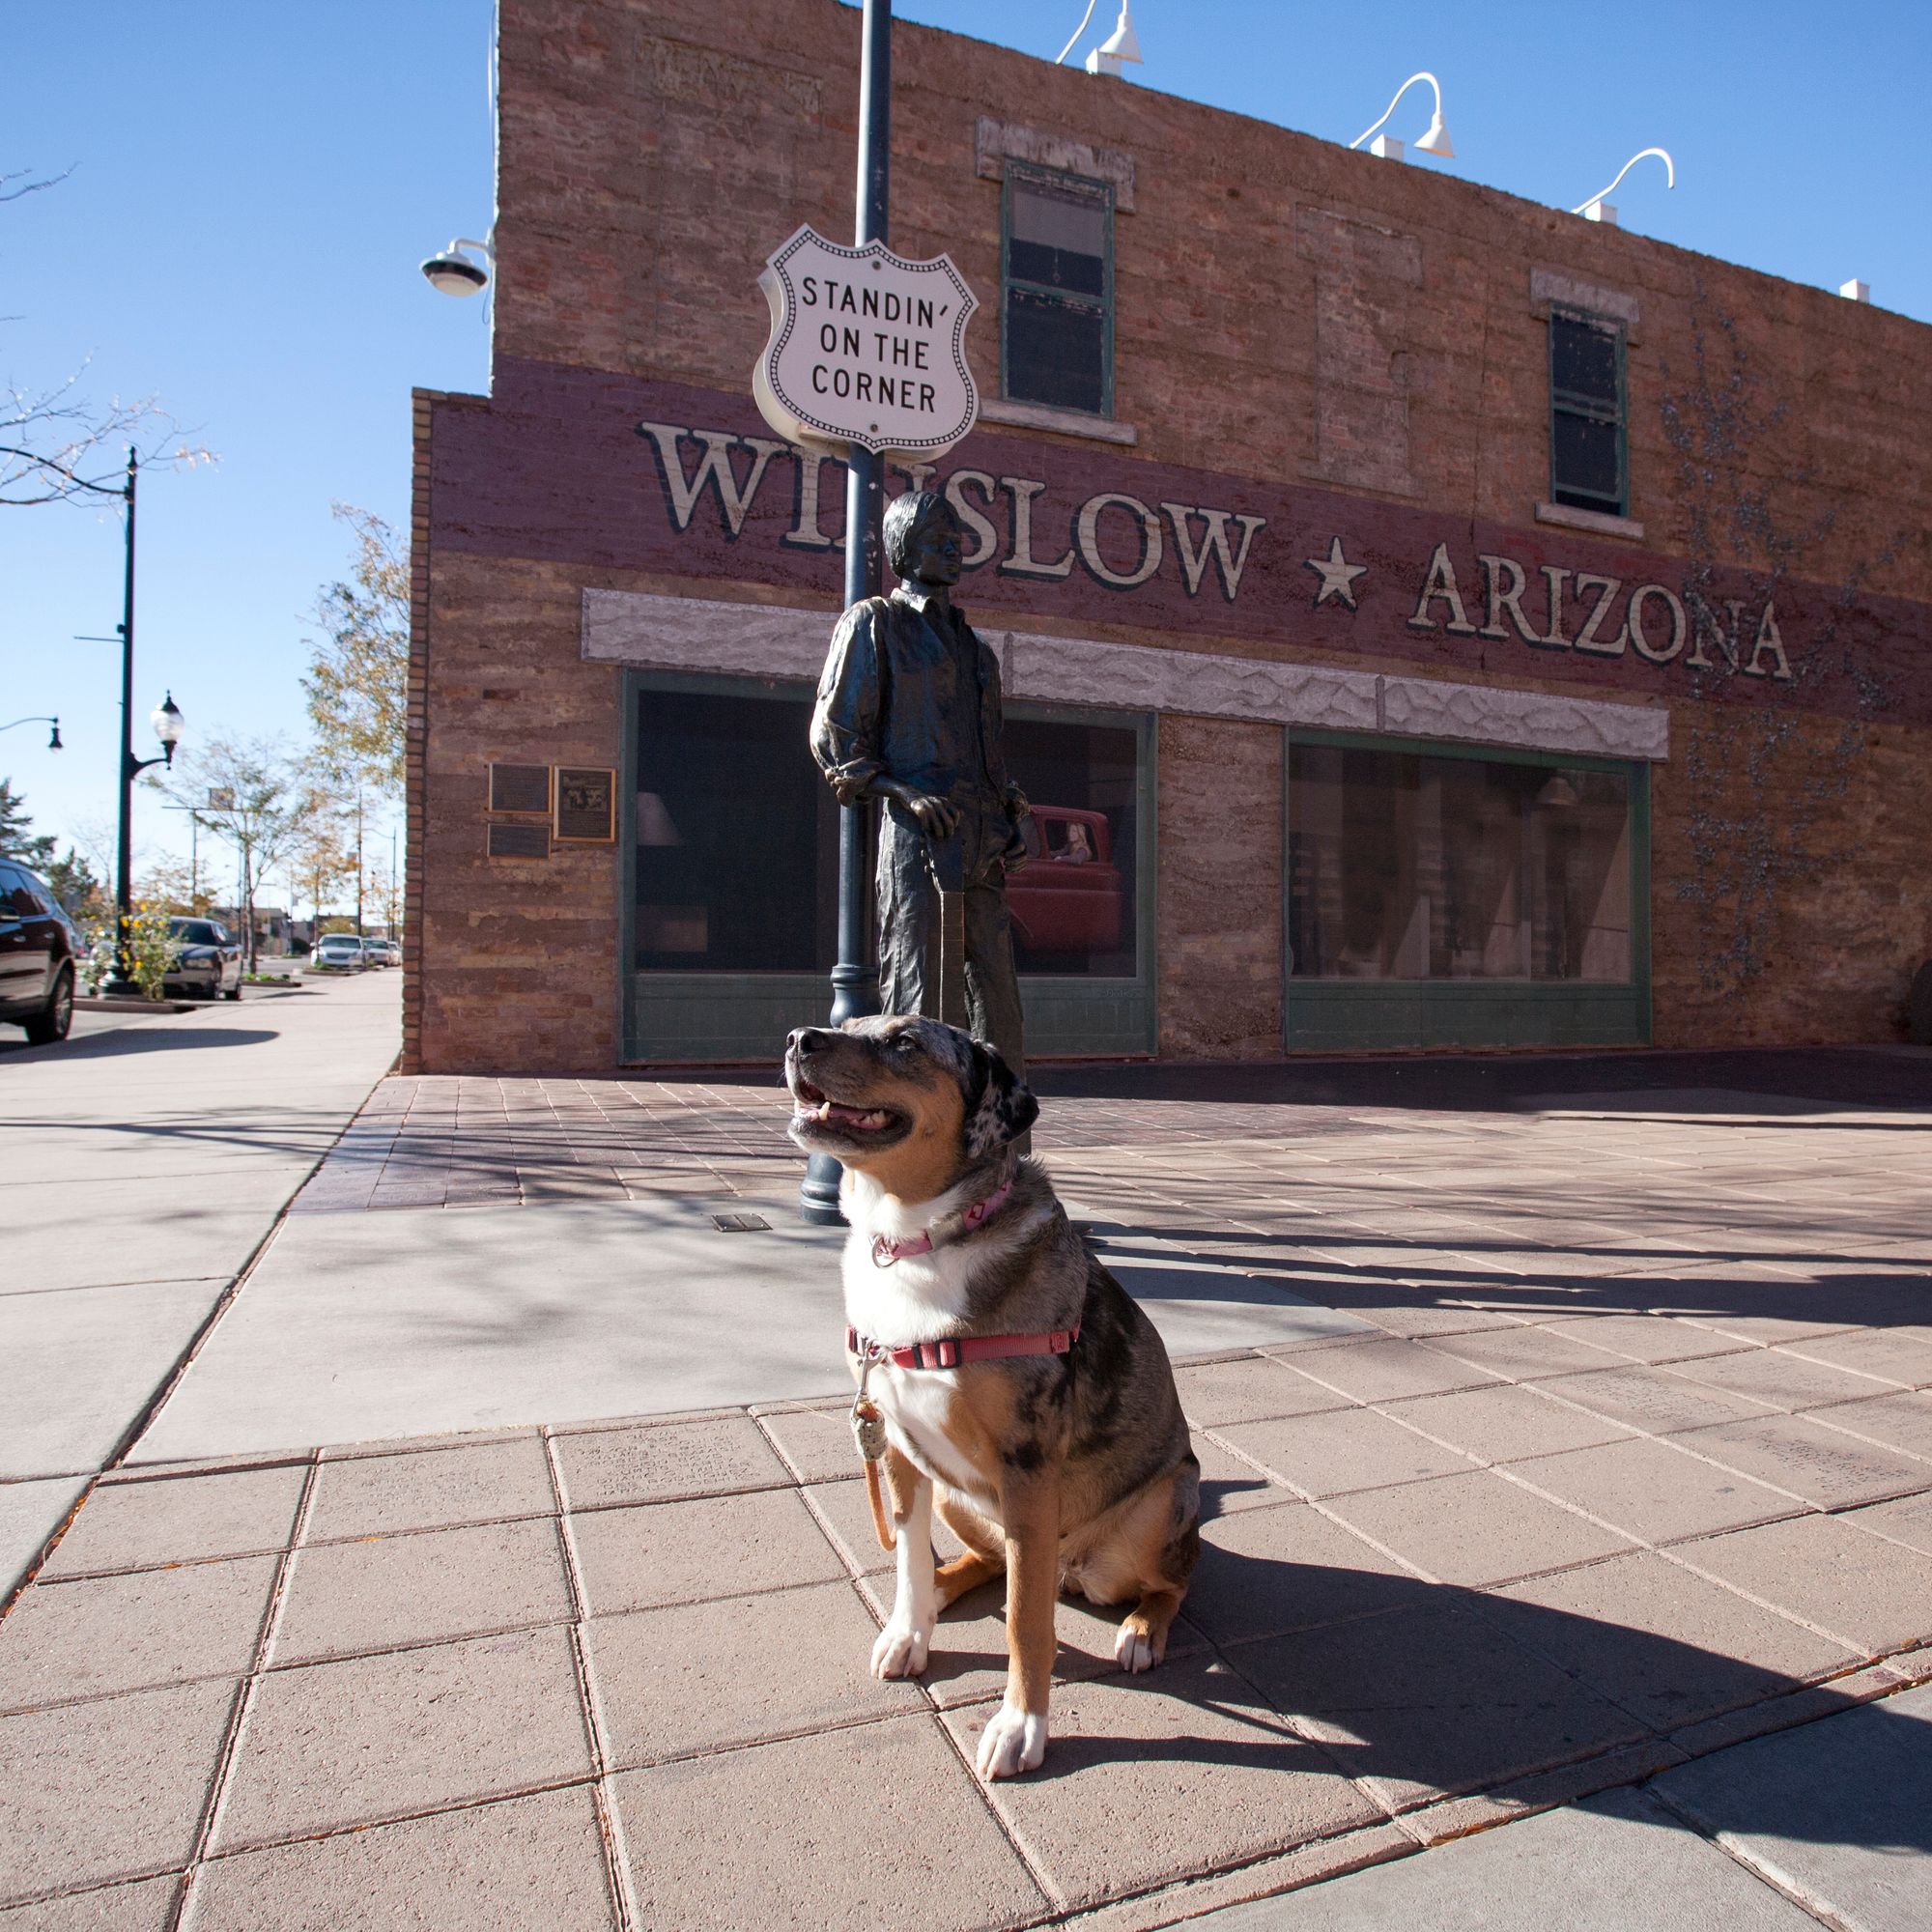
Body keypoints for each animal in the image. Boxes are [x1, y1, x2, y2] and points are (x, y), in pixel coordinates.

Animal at [784, 1012, 1190, 1777]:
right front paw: (910, 1628)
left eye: (905, 1043)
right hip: (956, 1493)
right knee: (986, 1561)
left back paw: (1140, 1631)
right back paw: (941, 1591)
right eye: (855, 1025)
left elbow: (1026, 1620)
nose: (799, 1039)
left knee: (1169, 1579)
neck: (915, 1241)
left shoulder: (1027, 1466)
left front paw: (1021, 1726)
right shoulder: (900, 1447)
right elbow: (910, 1559)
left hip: (1160, 1505)